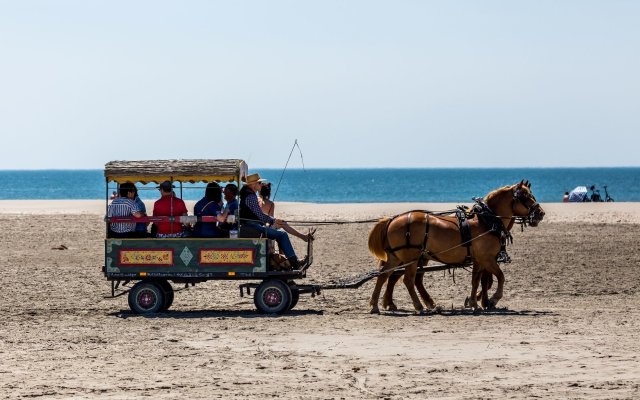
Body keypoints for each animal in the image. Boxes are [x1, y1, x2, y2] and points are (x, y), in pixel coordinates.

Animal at [368, 181, 544, 316]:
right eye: (524, 196)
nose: (540, 213)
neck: (487, 220)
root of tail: (392, 219)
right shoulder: (487, 258)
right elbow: (500, 277)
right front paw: (492, 299)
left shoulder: (479, 260)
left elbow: (476, 281)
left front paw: (474, 303)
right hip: (411, 257)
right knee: (408, 280)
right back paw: (419, 306)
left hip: (398, 257)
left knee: (384, 276)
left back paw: (376, 305)